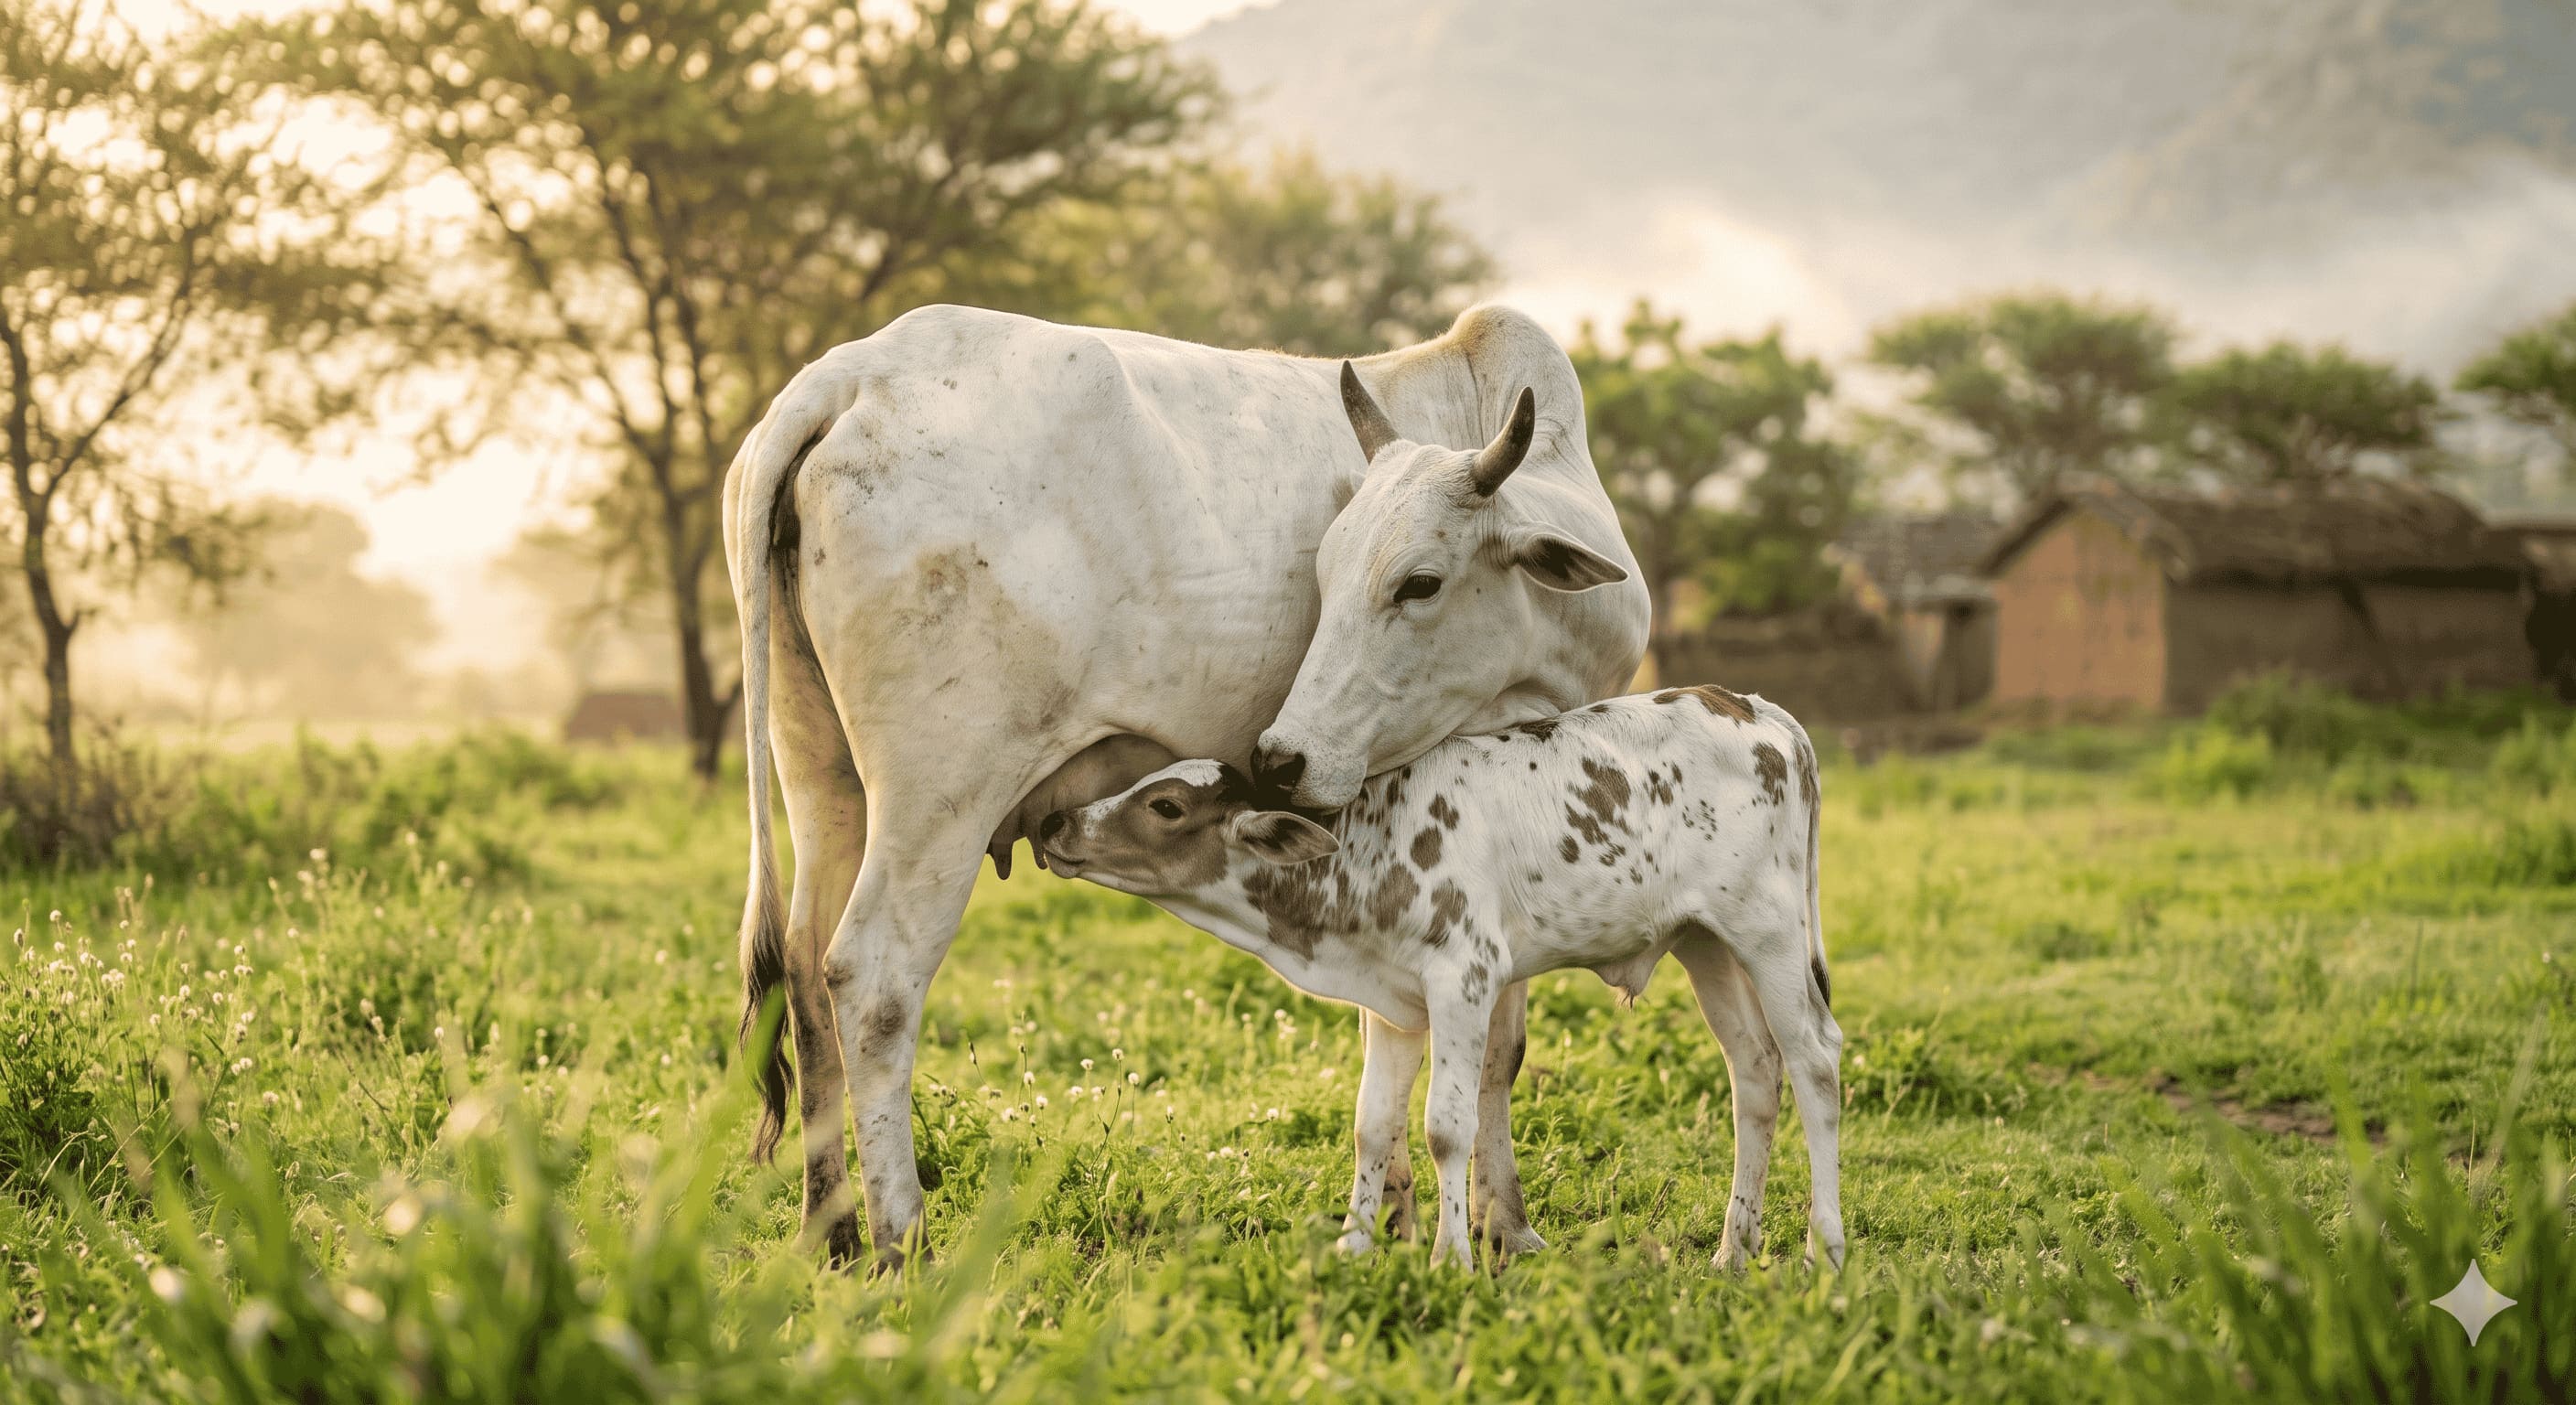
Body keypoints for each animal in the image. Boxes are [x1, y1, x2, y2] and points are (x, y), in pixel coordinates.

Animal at [724, 304, 1650, 1268]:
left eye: (1420, 581)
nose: (1279, 760)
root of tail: (855, 373)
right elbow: (1499, 1041)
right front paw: (1505, 1228)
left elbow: (1391, 1019)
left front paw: (1393, 1216)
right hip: (939, 794)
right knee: (873, 982)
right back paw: (905, 1248)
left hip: (820, 771)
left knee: (802, 966)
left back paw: (828, 1233)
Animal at [1035, 686, 1845, 1270]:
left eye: (1165, 805)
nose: (1053, 825)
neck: (1365, 848)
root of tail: (1757, 709)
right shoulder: (1394, 1006)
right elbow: (1373, 1127)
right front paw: (1353, 1248)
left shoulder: (1465, 979)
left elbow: (1446, 1128)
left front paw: (1451, 1257)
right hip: (1706, 943)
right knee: (1755, 1072)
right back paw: (1734, 1250)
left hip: (1770, 933)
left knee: (1814, 1063)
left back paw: (1824, 1251)